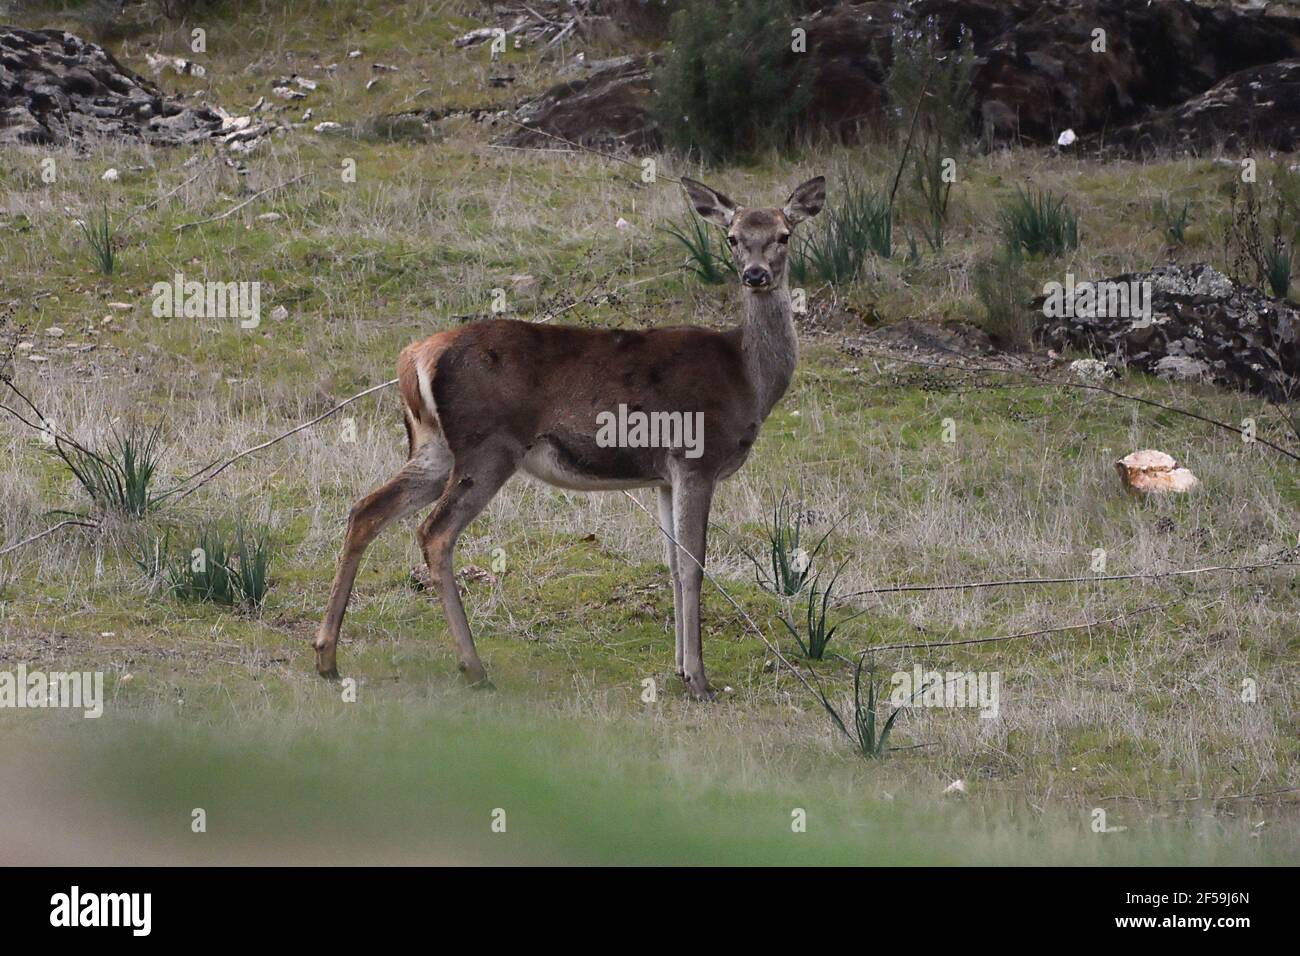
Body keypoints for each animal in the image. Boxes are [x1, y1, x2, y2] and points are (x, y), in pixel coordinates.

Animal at [313, 175, 821, 697]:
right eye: (732, 238)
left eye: (783, 235)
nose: (755, 275)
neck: (749, 379)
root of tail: (415, 355)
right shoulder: (696, 457)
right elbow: (693, 564)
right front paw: (699, 679)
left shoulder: (664, 476)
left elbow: (674, 564)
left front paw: (681, 668)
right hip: (488, 444)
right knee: (434, 532)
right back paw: (473, 667)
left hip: (433, 446)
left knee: (366, 508)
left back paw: (327, 656)